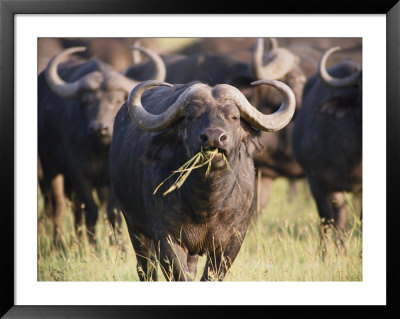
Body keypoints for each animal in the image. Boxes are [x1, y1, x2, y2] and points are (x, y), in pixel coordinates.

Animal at [38, 45, 166, 245]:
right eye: (87, 102)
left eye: (116, 100)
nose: (99, 128)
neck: (99, 151)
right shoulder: (77, 171)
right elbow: (90, 209)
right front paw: (92, 245)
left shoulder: (112, 179)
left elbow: (112, 213)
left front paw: (117, 245)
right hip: (50, 167)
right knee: (57, 206)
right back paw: (60, 244)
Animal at [108, 79, 296, 282]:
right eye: (191, 116)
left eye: (234, 117)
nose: (214, 137)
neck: (207, 203)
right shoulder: (165, 237)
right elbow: (179, 275)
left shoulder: (233, 240)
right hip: (134, 228)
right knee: (146, 269)